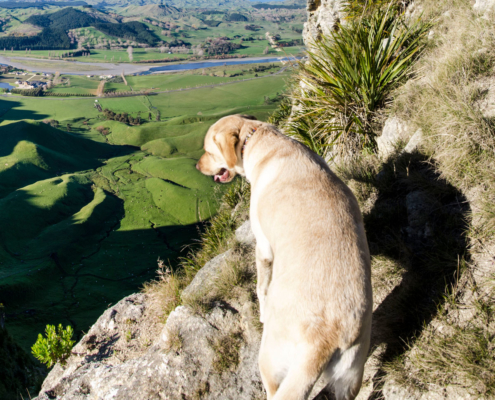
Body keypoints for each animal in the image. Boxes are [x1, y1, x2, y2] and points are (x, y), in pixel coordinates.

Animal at [196, 115, 370, 400]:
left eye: (209, 152)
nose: (197, 165)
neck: (256, 137)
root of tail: (321, 342)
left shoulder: (263, 247)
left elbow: (261, 287)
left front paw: (262, 310)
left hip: (270, 359)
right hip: (350, 378)